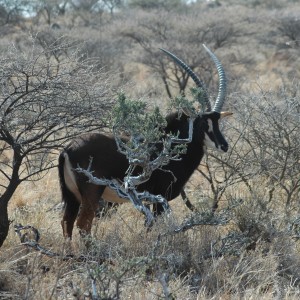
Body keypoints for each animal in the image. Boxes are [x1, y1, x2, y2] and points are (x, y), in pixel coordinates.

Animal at [58, 45, 232, 239]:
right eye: (202, 123)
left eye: (217, 121)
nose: (224, 146)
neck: (169, 142)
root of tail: (68, 148)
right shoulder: (159, 199)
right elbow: (153, 227)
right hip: (92, 193)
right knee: (83, 225)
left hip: (72, 196)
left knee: (67, 223)